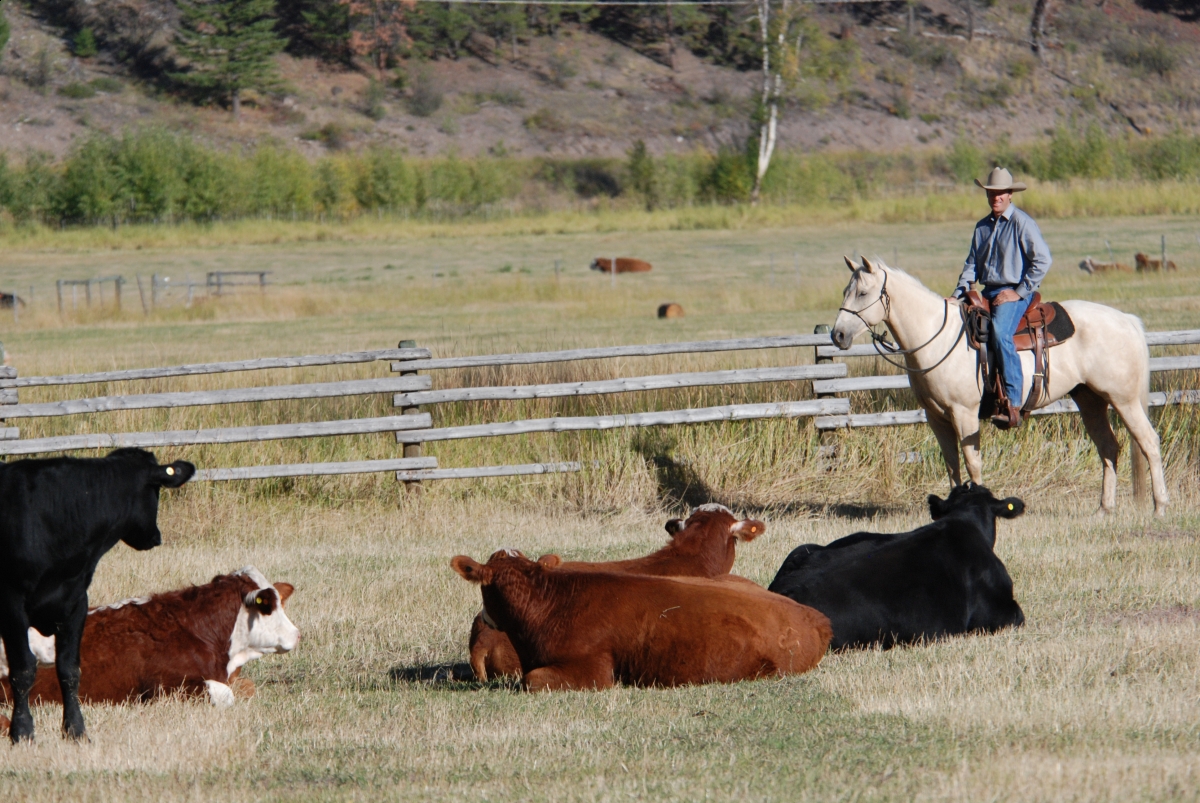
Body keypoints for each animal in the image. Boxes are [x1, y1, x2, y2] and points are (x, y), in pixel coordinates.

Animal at [0, 448, 195, 743]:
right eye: (157, 491)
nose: (156, 537)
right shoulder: (11, 603)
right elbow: (23, 670)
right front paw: (22, 731)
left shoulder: (76, 602)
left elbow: (69, 669)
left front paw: (76, 730)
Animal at [831, 257, 1168, 516]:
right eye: (846, 290)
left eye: (862, 293)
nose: (837, 335)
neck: (938, 337)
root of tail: (1126, 320)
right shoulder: (937, 417)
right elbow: (952, 466)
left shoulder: (964, 413)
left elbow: (972, 464)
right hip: (1090, 400)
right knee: (1109, 448)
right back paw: (1104, 509)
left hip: (1123, 399)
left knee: (1149, 442)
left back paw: (1160, 506)